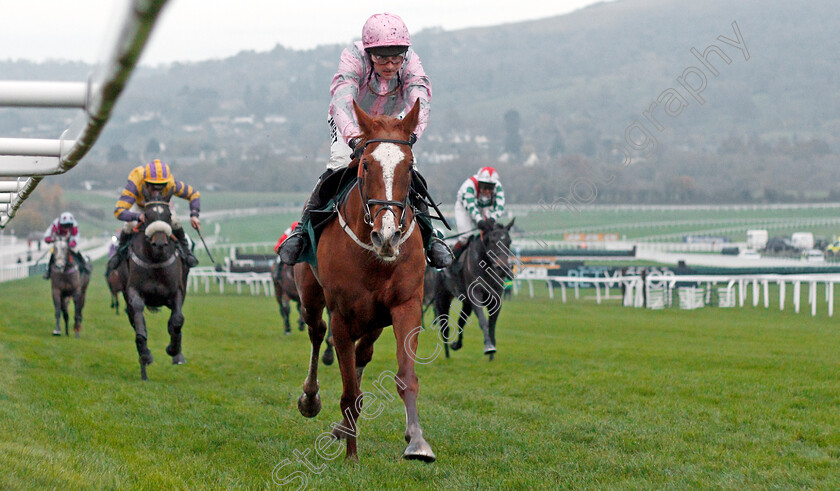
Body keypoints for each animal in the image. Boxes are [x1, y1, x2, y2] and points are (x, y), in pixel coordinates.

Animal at [296, 99, 436, 462]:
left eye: (409, 167)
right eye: (367, 165)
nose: (387, 235)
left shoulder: (406, 305)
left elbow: (406, 377)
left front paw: (418, 442)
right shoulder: (342, 317)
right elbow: (348, 391)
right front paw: (351, 457)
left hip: (375, 319)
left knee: (364, 353)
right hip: (310, 294)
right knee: (317, 332)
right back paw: (311, 399)